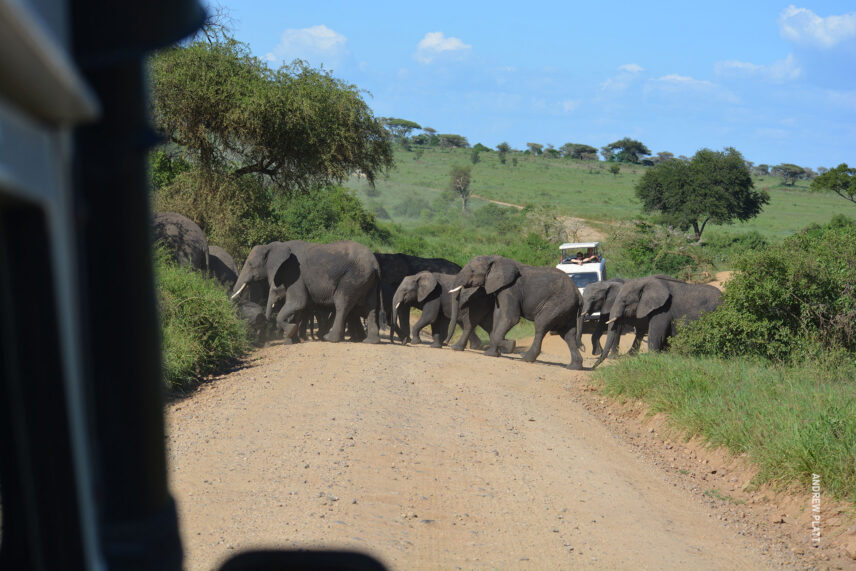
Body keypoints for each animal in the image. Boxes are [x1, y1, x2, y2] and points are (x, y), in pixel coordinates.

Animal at [231, 240, 381, 344]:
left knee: (342, 303)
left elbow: (298, 303)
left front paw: (290, 332)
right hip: (368, 280)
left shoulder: (294, 273)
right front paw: (292, 340)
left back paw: (330, 338)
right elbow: (299, 309)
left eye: (250, 264)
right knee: (371, 307)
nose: (265, 339)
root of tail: (375, 264)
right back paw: (370, 341)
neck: (273, 246)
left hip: (353, 277)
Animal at [445, 255, 584, 369]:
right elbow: (498, 315)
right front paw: (491, 354)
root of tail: (579, 294)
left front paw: (510, 345)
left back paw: (526, 358)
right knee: (568, 334)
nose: (445, 343)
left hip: (557, 303)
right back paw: (573, 367)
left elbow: (511, 318)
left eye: (473, 271)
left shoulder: (510, 288)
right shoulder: (500, 288)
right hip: (567, 309)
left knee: (541, 325)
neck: (494, 258)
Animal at [592, 276, 722, 368]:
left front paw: (653, 359)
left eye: (625, 302)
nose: (592, 367)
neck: (645, 282)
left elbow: (656, 334)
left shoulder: (663, 309)